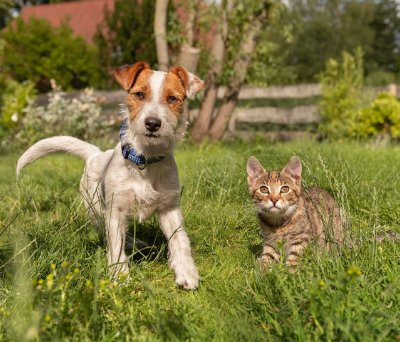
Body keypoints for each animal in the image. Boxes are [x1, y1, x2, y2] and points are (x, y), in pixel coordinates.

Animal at [16, 61, 203, 288]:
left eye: (172, 99)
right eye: (139, 94)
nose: (152, 123)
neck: (144, 160)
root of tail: (95, 154)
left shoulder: (169, 208)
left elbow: (179, 238)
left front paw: (186, 271)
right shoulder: (115, 210)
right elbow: (115, 244)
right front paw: (119, 276)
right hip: (96, 210)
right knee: (111, 232)